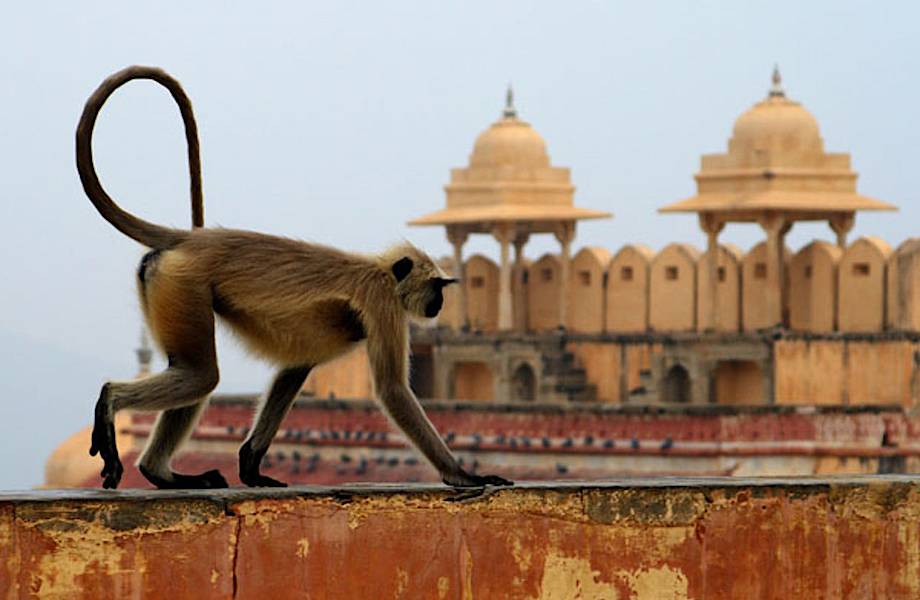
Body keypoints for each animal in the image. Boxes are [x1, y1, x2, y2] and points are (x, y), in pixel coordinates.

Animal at [75, 65, 512, 490]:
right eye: (437, 287)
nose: (439, 303)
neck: (381, 272)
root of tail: (194, 239)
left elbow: (295, 369)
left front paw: (251, 466)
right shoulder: (382, 302)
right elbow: (392, 391)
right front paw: (462, 474)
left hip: (169, 284)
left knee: (191, 370)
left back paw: (159, 472)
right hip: (183, 285)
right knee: (200, 374)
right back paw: (111, 404)